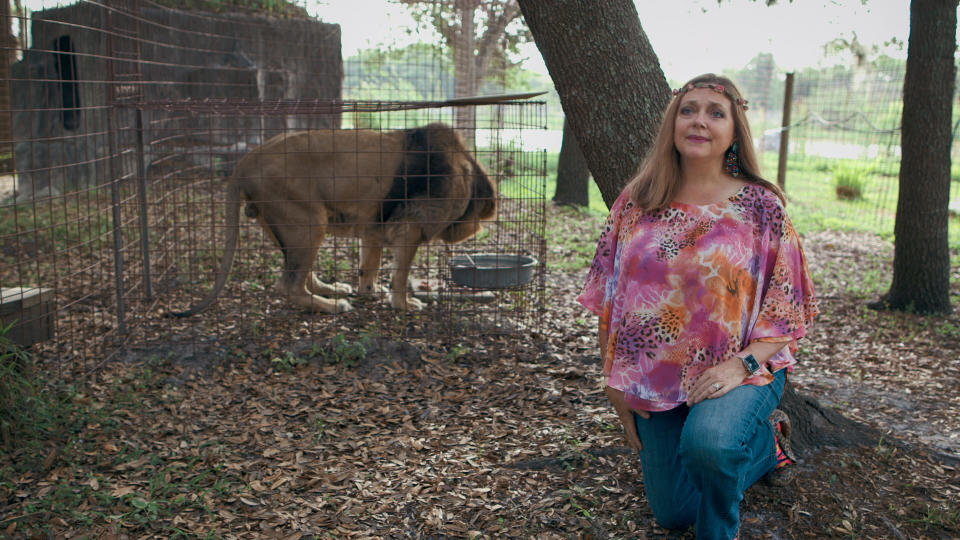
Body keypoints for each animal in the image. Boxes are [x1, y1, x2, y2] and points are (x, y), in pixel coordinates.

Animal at [172, 122, 498, 316]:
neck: (467, 174)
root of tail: (245, 161)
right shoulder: (410, 229)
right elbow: (400, 275)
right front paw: (403, 304)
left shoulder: (374, 228)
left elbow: (369, 266)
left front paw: (370, 292)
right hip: (310, 222)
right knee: (289, 286)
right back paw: (333, 305)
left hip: (288, 226)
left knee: (301, 274)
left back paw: (332, 290)